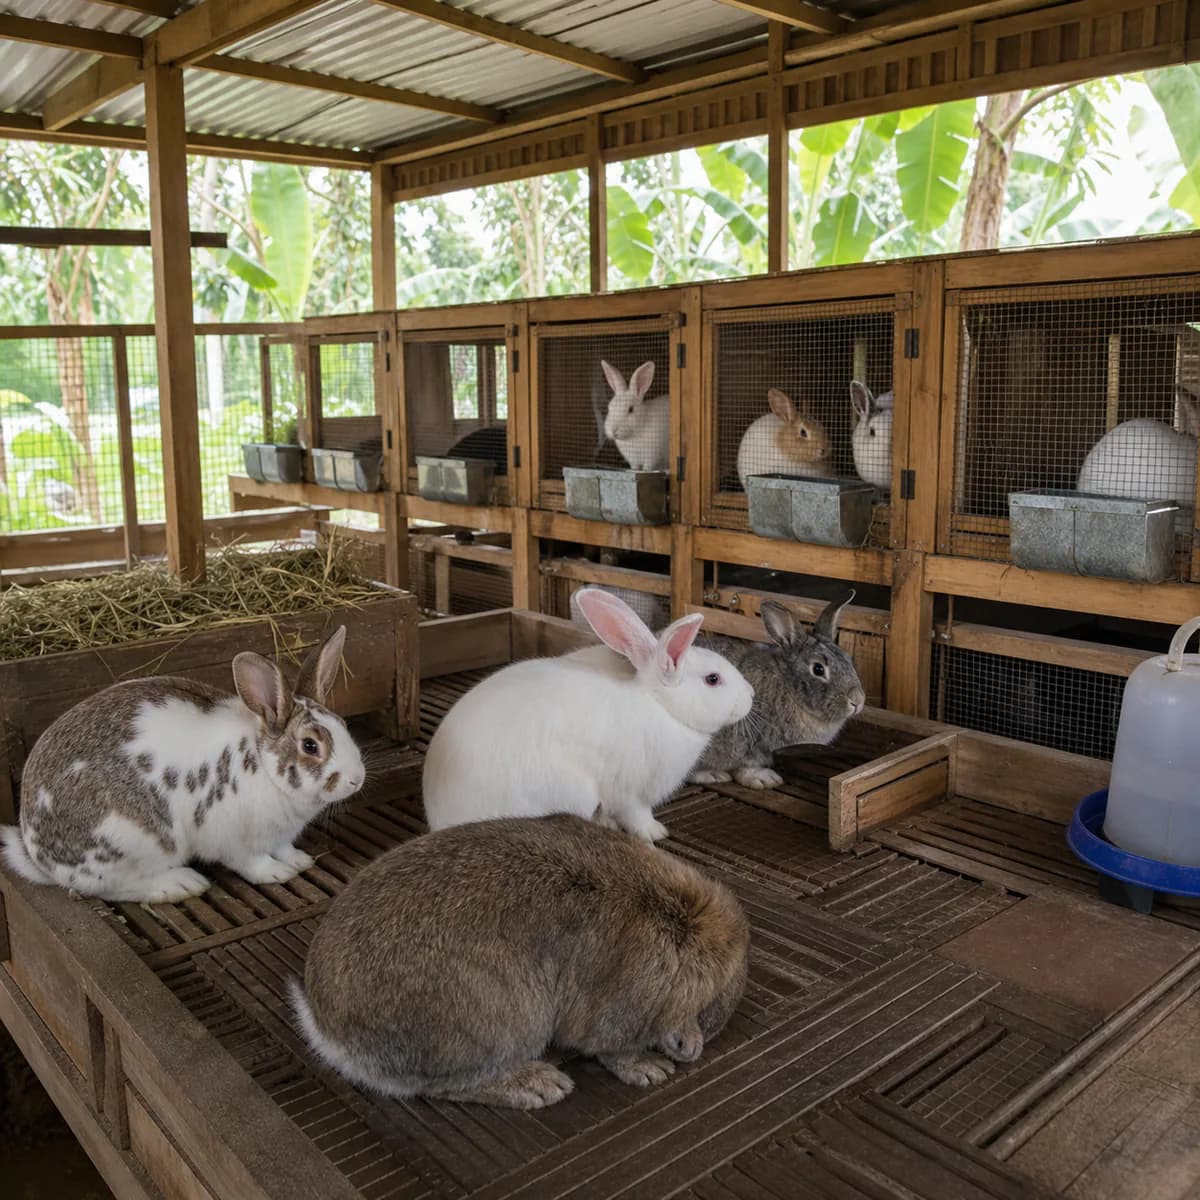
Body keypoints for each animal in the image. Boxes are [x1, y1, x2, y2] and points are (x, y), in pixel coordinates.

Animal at [0, 627, 364, 904]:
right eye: (310, 745)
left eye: (343, 725)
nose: (357, 779)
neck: (264, 766)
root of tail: (38, 855)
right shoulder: (233, 840)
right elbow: (253, 864)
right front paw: (279, 873)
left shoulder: (279, 837)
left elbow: (285, 848)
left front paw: (299, 861)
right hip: (130, 839)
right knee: (113, 887)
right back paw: (181, 884)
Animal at [290, 813, 749, 1108]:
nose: (689, 1047)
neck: (680, 916)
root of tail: (330, 1033)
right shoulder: (616, 1015)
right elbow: (610, 1048)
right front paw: (650, 1069)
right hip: (497, 1025)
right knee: (444, 1086)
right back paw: (539, 1086)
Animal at [423, 588, 753, 842]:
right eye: (713, 679)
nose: (751, 695)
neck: (659, 704)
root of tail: (442, 818)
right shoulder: (631, 792)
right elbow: (637, 816)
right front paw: (655, 833)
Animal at [690, 592, 865, 790]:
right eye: (818, 669)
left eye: (848, 659)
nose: (858, 701)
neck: (789, 689)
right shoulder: (750, 742)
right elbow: (748, 766)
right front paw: (764, 779)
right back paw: (711, 775)